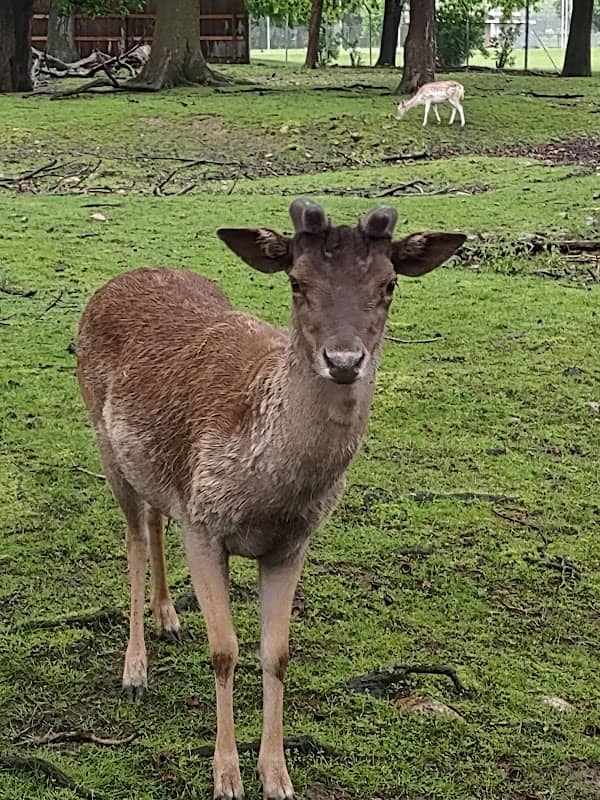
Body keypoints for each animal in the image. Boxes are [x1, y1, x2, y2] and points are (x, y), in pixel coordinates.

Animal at [76, 199, 465, 800]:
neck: (270, 494)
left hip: (154, 467)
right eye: (297, 281)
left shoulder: (292, 542)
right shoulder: (204, 523)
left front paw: (277, 775)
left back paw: (168, 616)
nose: (344, 359)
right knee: (136, 536)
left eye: (390, 283)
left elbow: (277, 653)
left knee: (157, 518)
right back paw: (135, 669)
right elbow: (224, 650)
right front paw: (226, 776)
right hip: (104, 441)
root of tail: (119, 279)